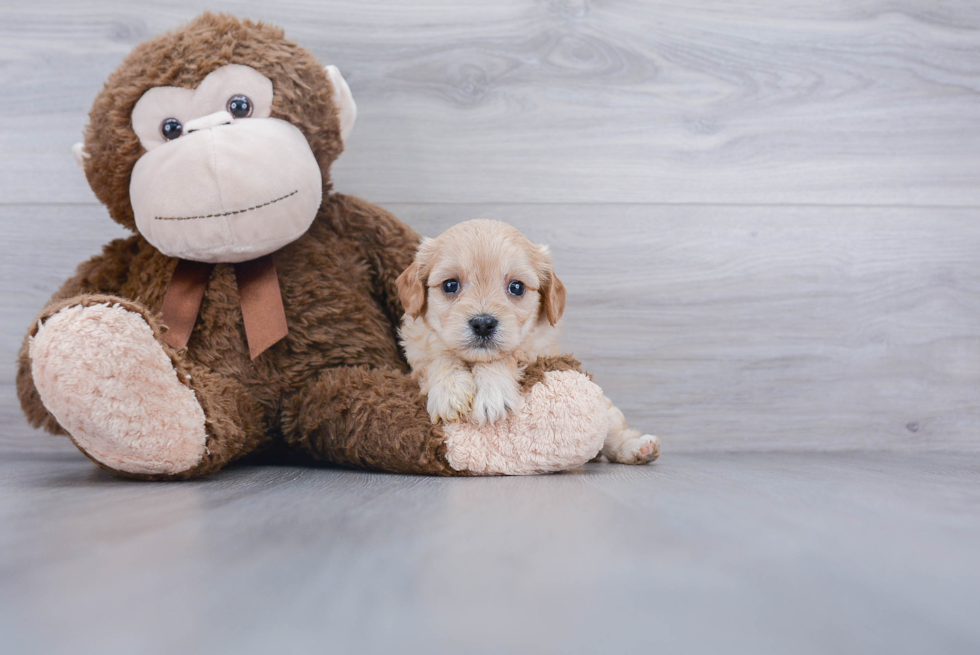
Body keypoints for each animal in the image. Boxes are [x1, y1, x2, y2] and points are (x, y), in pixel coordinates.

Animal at [394, 220, 664, 466]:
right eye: (450, 285)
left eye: (516, 287)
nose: (483, 323)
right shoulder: (416, 356)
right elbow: (438, 357)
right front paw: (450, 391)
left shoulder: (536, 350)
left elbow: (508, 355)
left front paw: (493, 393)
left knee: (612, 430)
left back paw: (638, 448)